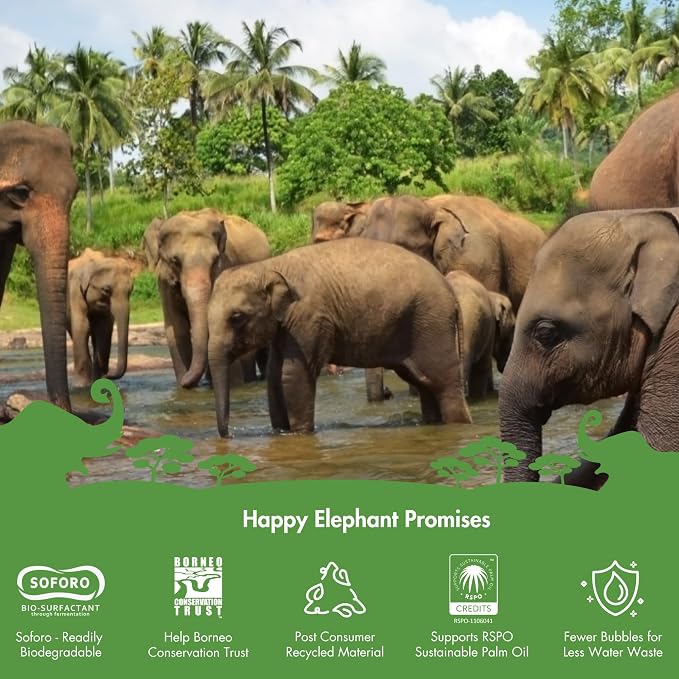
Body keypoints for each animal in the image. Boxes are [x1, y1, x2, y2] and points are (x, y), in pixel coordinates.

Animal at [67, 249, 134, 387]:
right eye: (106, 290)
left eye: (131, 289)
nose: (109, 375)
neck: (95, 264)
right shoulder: (75, 291)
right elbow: (82, 327)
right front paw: (82, 386)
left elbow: (104, 329)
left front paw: (99, 383)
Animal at [144, 208, 271, 388]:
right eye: (175, 261)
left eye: (215, 260)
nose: (184, 381)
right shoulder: (164, 282)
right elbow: (177, 330)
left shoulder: (227, 268)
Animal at [207, 238, 471, 436]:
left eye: (236, 317)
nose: (229, 435)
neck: (268, 266)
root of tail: (452, 293)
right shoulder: (286, 325)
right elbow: (274, 375)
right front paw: (281, 432)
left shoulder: (309, 317)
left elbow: (293, 374)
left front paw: (299, 434)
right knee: (423, 381)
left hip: (431, 323)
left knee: (443, 381)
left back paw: (458, 425)